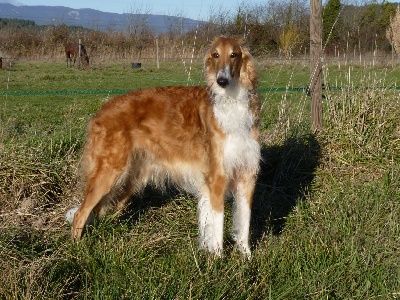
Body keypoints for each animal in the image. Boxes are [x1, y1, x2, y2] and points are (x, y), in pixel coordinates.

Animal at [70, 36, 260, 256]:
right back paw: (76, 250)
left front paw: (246, 256)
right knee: (80, 213)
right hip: (109, 172)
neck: (231, 102)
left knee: (105, 210)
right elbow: (217, 227)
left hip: (132, 178)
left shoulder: (247, 175)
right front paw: (217, 258)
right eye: (215, 55)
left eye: (234, 54)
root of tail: (101, 110)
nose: (222, 81)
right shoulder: (217, 177)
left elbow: (244, 223)